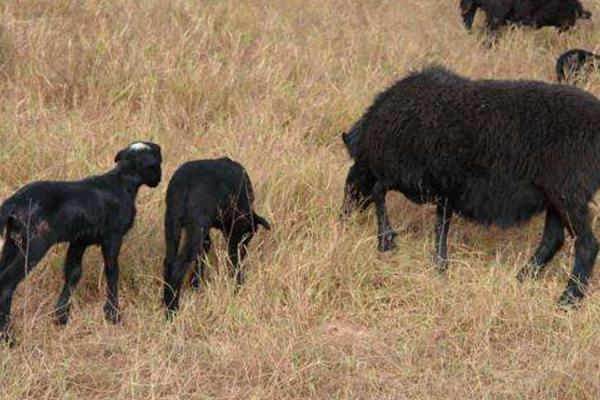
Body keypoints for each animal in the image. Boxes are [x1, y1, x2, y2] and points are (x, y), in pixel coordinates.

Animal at [0, 141, 162, 340]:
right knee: (7, 283)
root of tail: (13, 203)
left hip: (12, 243)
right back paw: (8, 336)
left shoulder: (79, 241)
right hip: (35, 244)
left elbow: (74, 273)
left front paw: (60, 317)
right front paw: (113, 315)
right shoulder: (113, 237)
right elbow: (112, 272)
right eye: (157, 162)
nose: (158, 180)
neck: (121, 183)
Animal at [162, 158, 270, 314]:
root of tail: (183, 186)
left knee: (168, 262)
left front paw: (195, 285)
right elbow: (230, 256)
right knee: (178, 266)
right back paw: (172, 311)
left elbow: (205, 249)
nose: (243, 253)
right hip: (196, 224)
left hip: (172, 222)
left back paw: (166, 301)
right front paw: (238, 284)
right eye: (247, 235)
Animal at [340, 66, 600, 306]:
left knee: (586, 245)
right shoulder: (442, 190)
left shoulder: (413, 178)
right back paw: (521, 278)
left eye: (351, 176)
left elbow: (379, 190)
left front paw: (386, 241)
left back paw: (568, 299)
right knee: (553, 239)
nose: (342, 219)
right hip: (555, 198)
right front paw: (440, 269)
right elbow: (440, 228)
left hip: (568, 194)